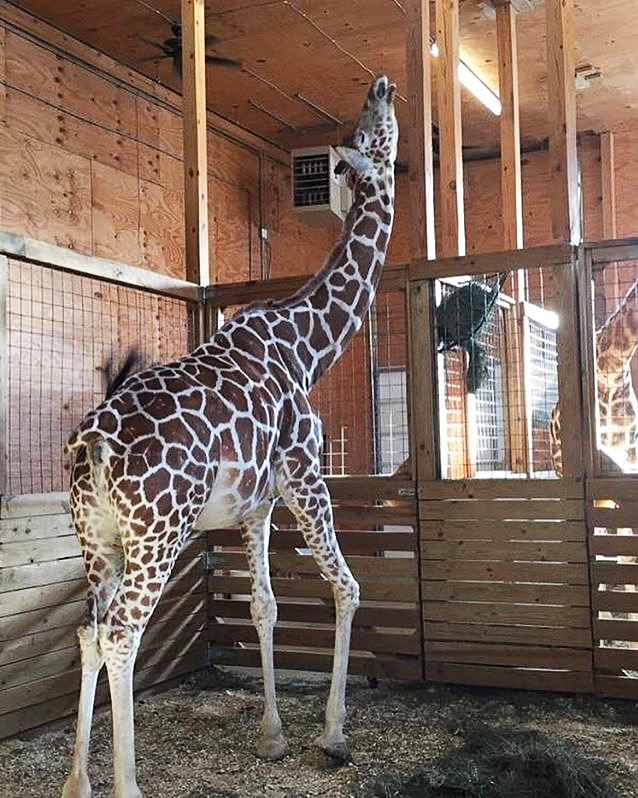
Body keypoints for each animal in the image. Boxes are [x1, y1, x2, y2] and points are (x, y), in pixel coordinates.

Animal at [61, 74, 398, 798]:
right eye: (374, 133)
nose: (383, 86)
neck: (307, 347)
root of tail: (94, 445)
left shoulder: (254, 506)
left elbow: (263, 605)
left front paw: (272, 735)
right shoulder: (305, 476)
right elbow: (347, 585)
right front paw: (333, 734)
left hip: (97, 538)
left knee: (88, 630)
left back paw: (77, 782)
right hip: (157, 534)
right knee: (121, 633)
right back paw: (127, 785)